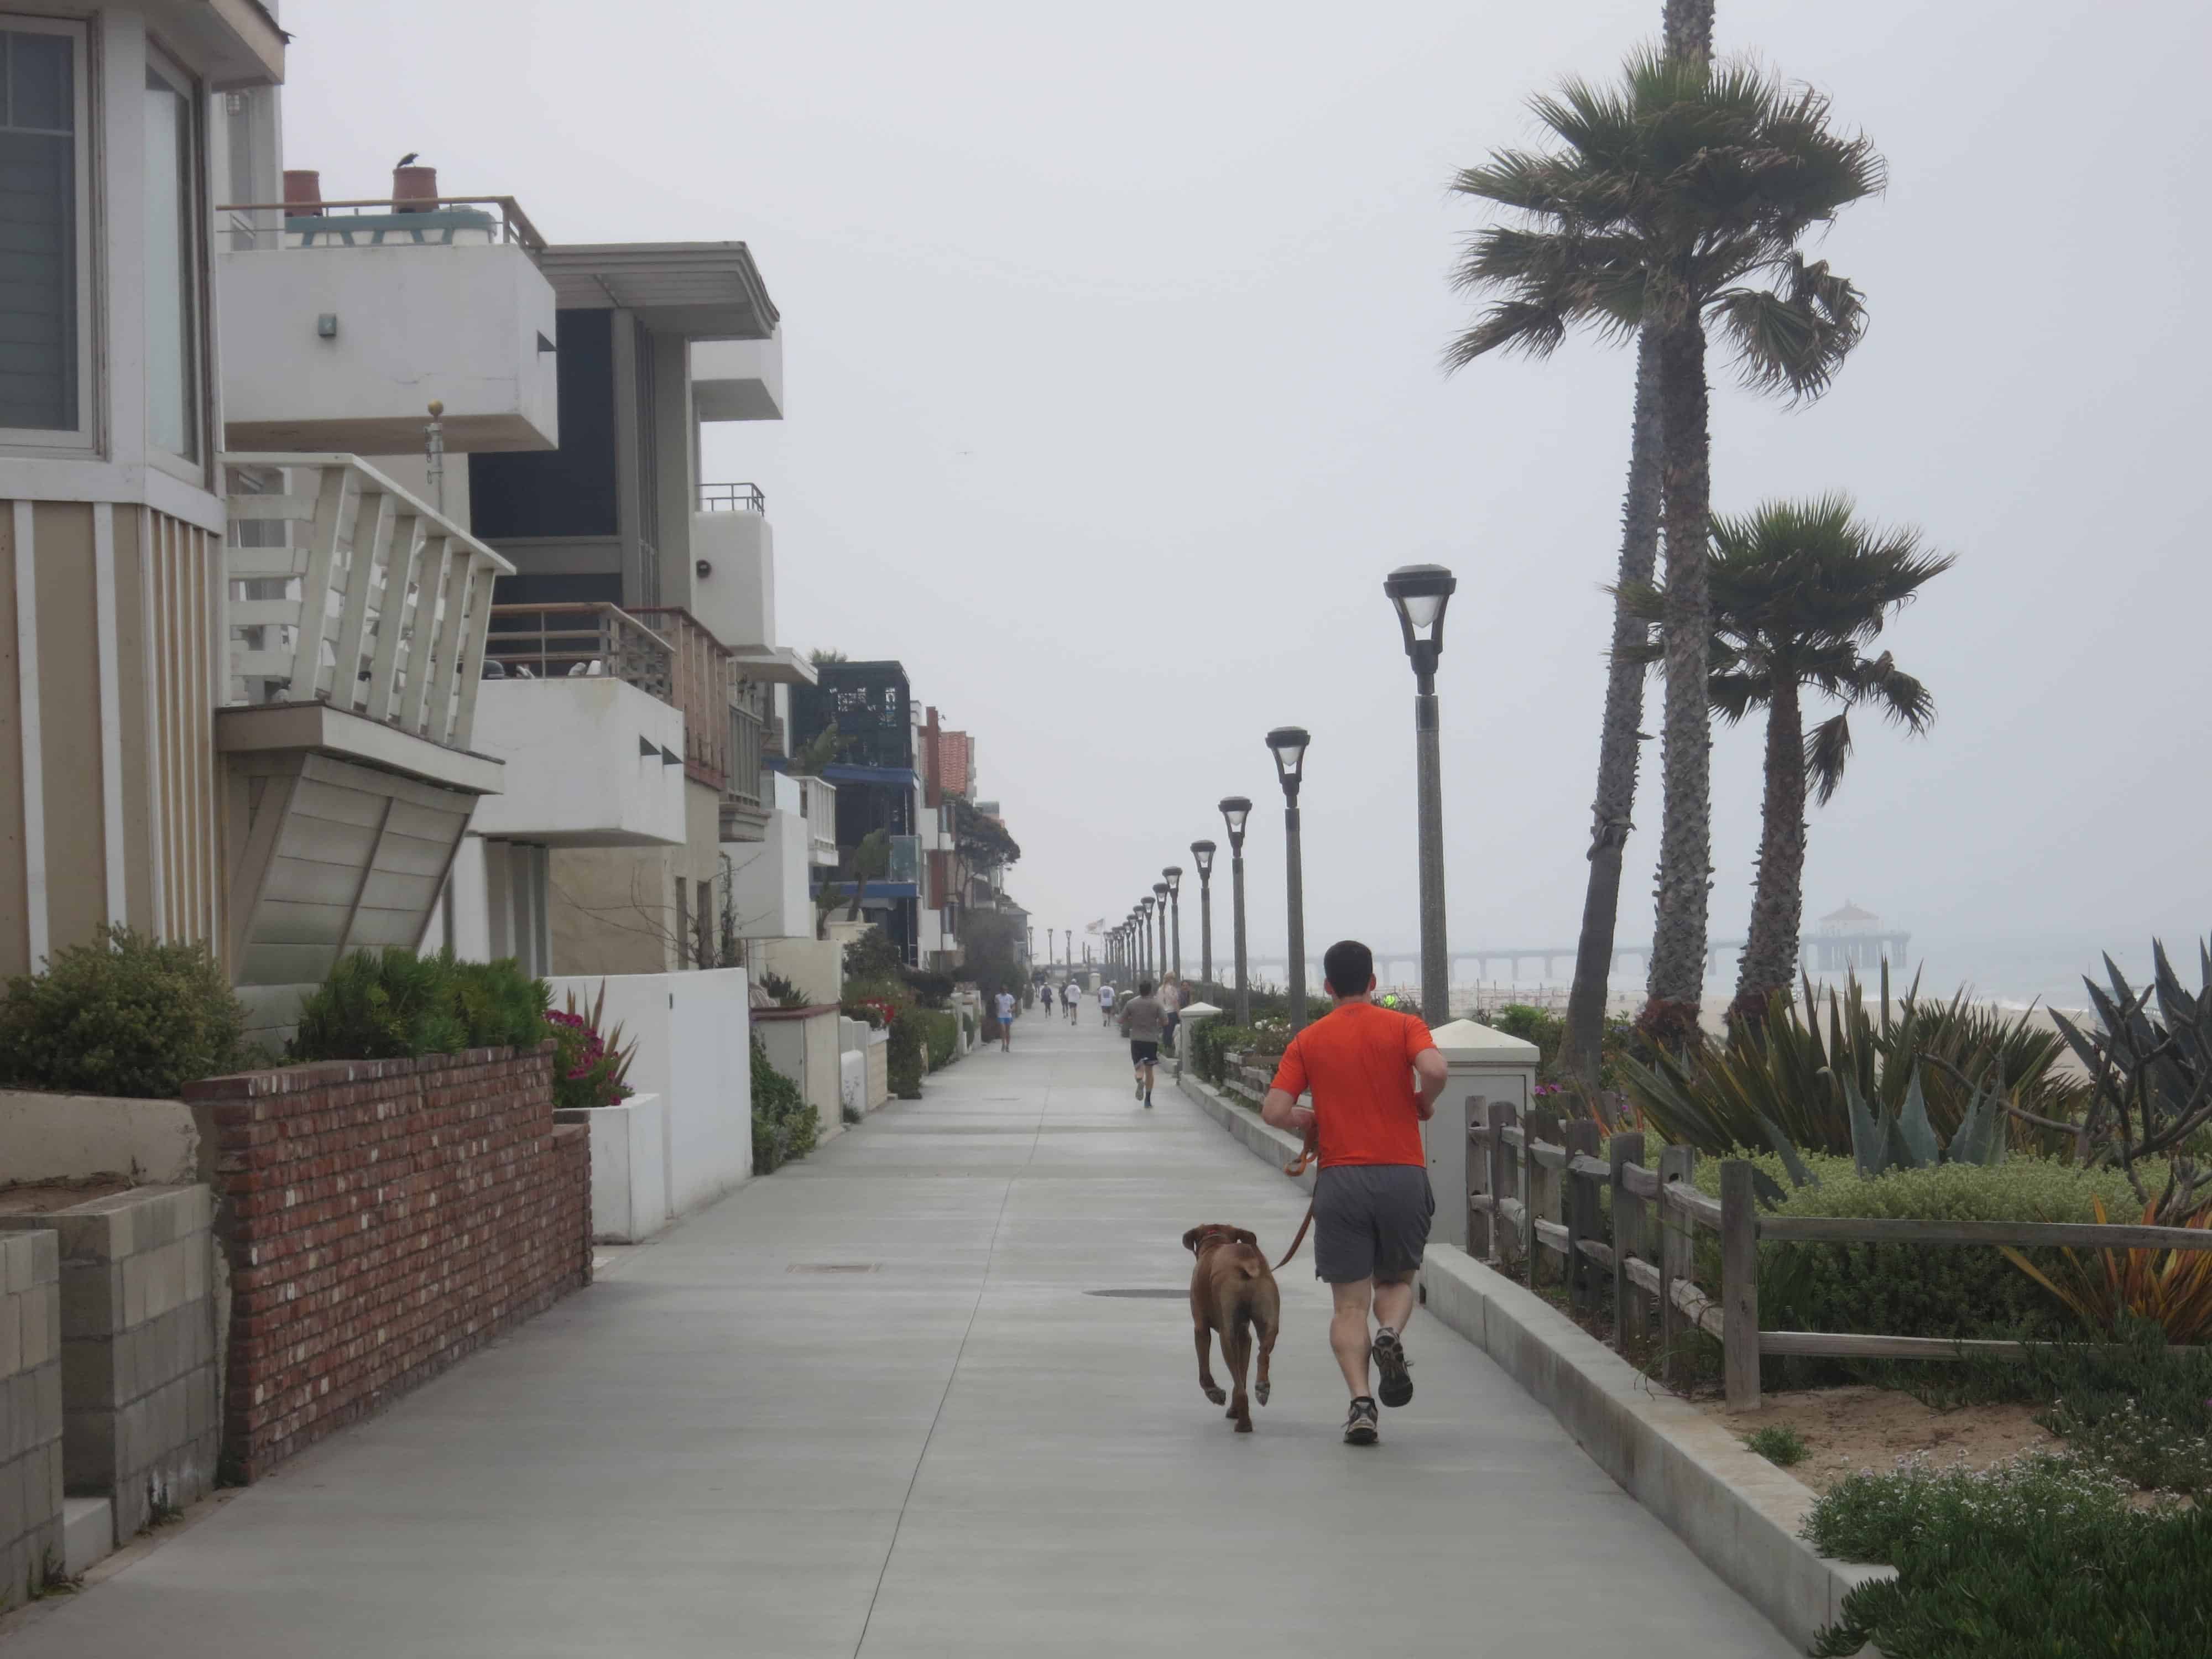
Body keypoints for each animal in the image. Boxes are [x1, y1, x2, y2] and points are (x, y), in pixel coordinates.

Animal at [1177, 1230, 1283, 1433]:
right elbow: (1241, 1376)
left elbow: (1205, 1373)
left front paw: (1214, 1392)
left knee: (1241, 1387)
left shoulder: (1201, 1328)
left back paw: (1244, 1424)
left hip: (1226, 1337)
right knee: (1263, 1353)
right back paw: (1262, 1387)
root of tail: (1243, 1257)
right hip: (1269, 1321)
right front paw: (1235, 1409)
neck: (1216, 1243)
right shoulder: (1244, 1336)